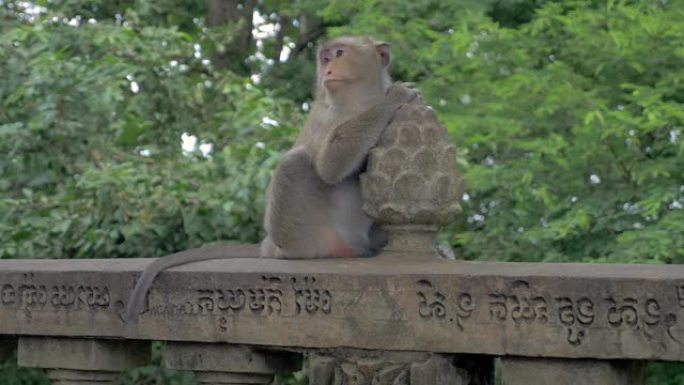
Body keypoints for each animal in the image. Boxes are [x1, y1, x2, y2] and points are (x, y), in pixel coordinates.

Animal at [123, 36, 420, 324]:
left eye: (339, 53)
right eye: (325, 58)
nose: (328, 70)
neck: (361, 98)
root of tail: (271, 244)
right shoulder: (328, 115)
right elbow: (329, 166)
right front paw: (394, 97)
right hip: (304, 232)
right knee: (295, 163)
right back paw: (306, 252)